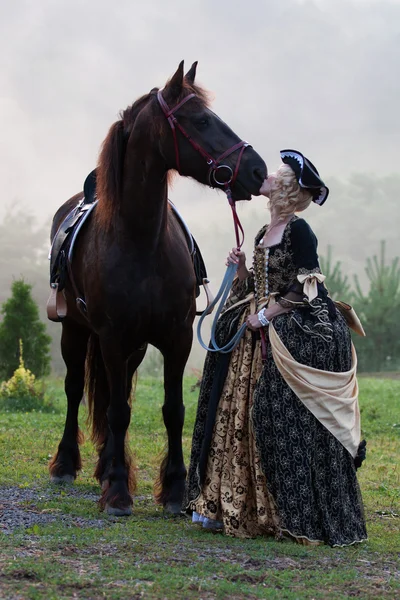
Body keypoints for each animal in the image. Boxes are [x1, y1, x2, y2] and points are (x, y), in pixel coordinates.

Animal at [48, 61, 268, 516]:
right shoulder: (112, 337)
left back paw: (105, 465)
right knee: (77, 389)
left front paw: (174, 488)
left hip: (132, 348)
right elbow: (115, 411)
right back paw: (67, 464)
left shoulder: (175, 337)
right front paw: (118, 491)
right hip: (76, 332)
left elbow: (172, 410)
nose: (258, 170)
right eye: (201, 120)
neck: (141, 239)